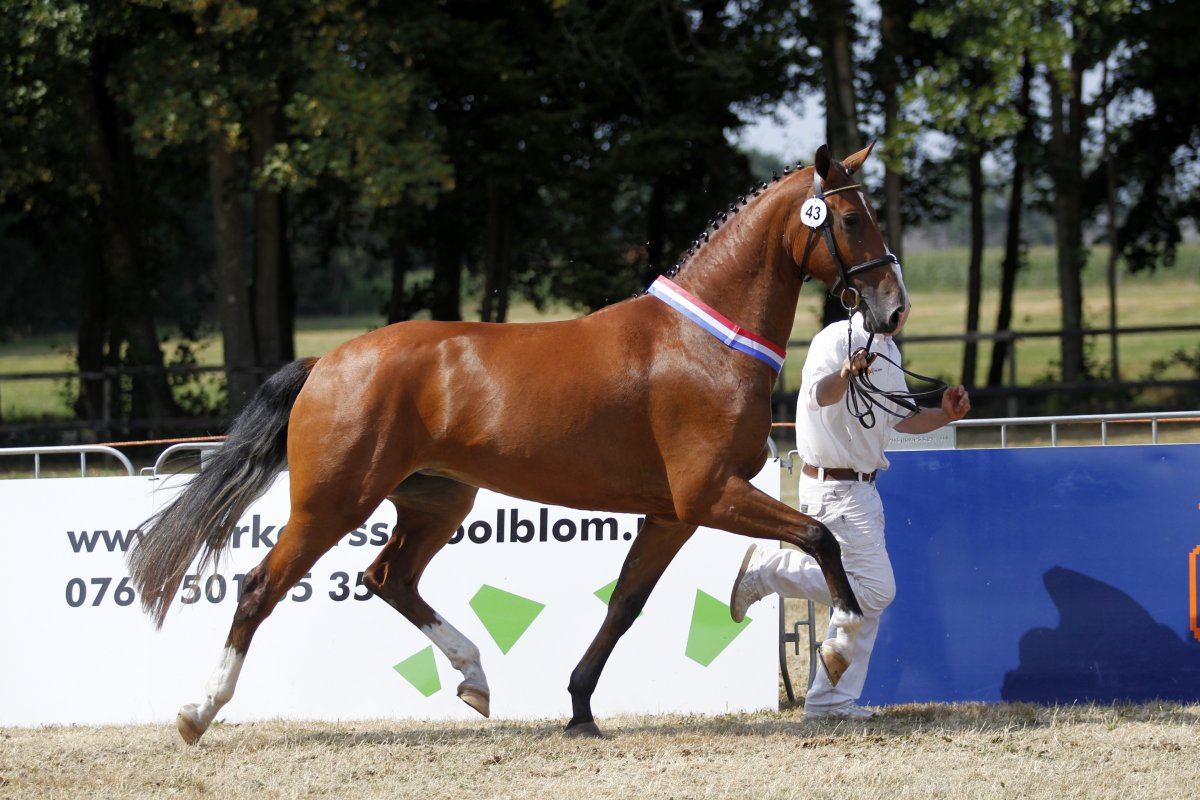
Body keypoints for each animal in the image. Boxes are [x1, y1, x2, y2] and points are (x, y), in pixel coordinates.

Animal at [127, 142, 907, 743]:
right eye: (849, 217)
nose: (892, 308)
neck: (704, 345)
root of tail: (329, 363)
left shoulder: (671, 513)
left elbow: (624, 605)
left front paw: (581, 707)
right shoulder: (710, 495)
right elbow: (819, 538)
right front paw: (840, 642)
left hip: (437, 500)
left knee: (389, 578)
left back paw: (474, 677)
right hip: (332, 503)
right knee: (261, 586)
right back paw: (198, 711)